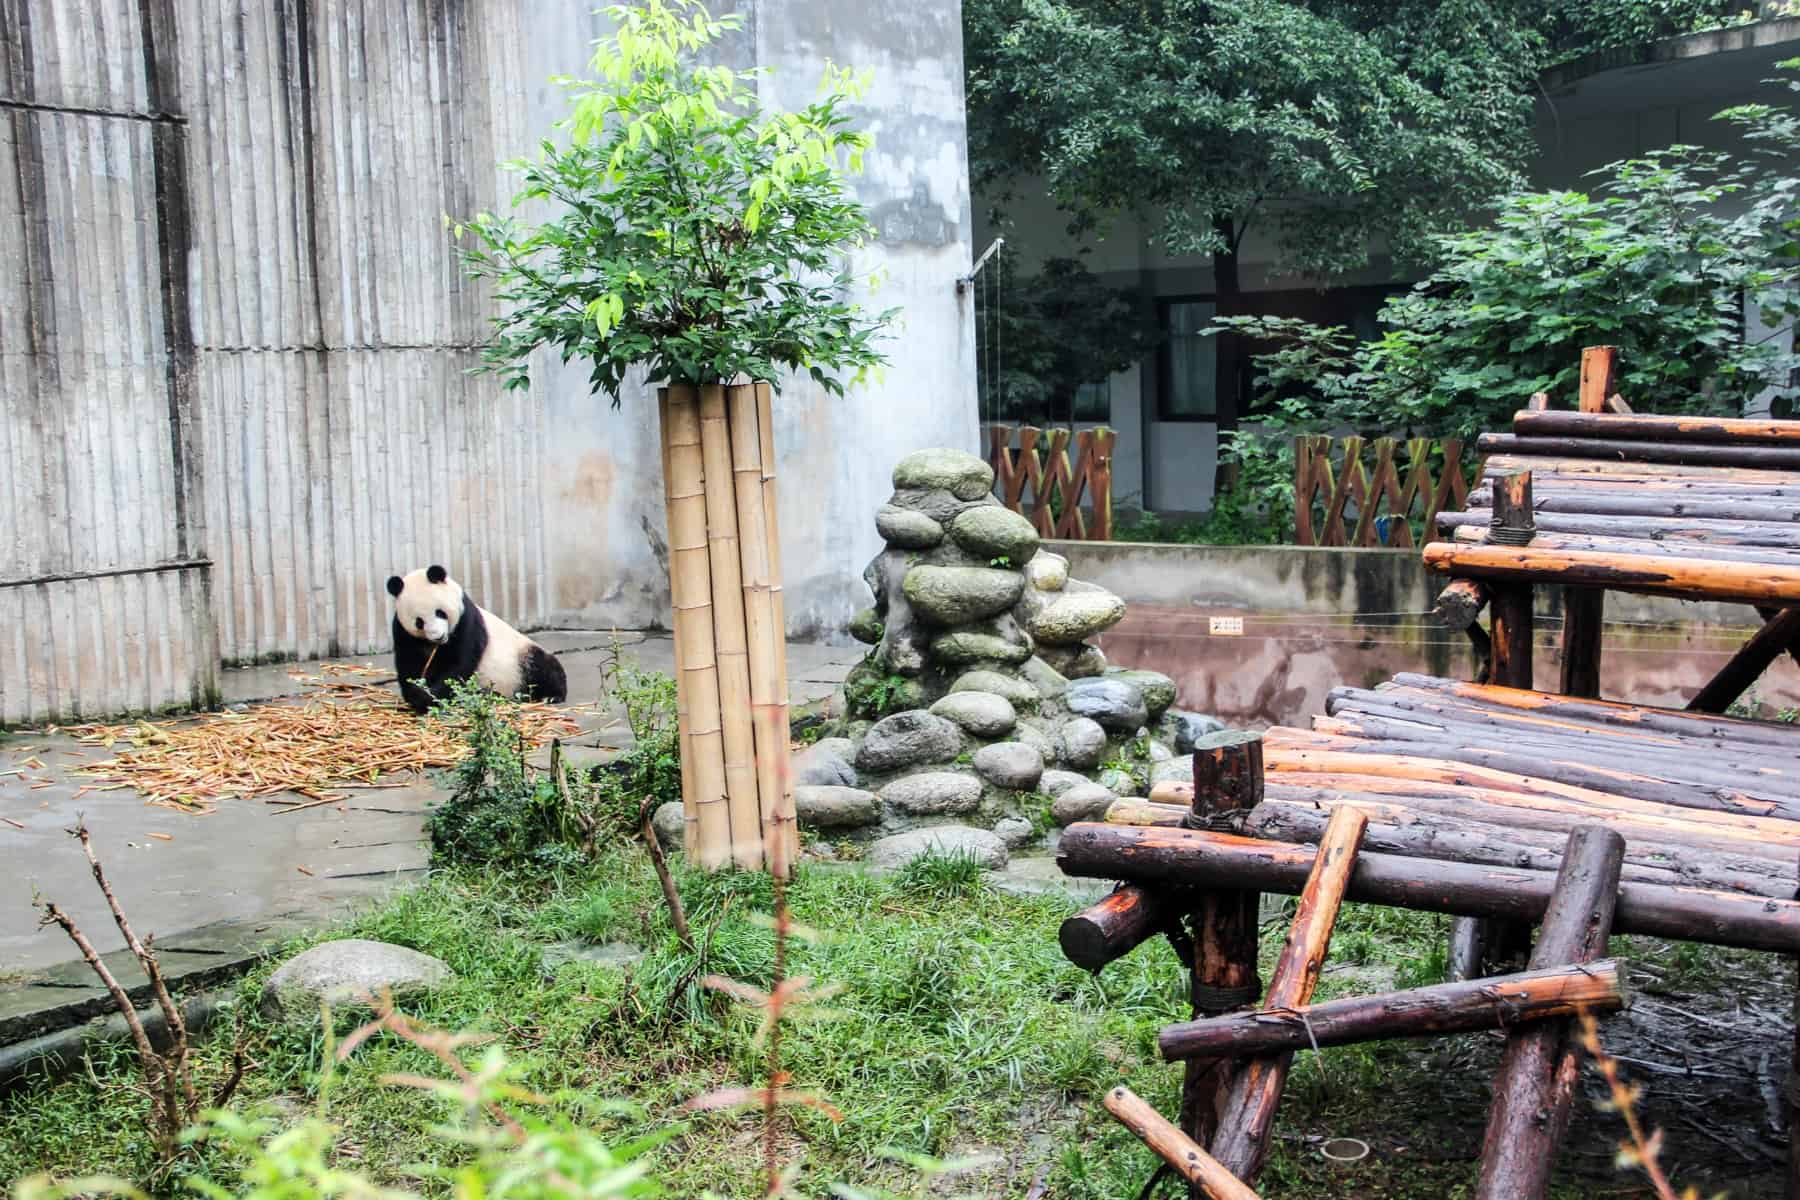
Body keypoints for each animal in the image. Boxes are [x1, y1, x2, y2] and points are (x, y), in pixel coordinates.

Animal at [388, 564, 568, 712]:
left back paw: (551, 695)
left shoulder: (467, 621)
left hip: (521, 656)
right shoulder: (403, 632)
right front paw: (417, 696)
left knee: (543, 666)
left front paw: (429, 697)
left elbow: (460, 664)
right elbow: (409, 665)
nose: (438, 636)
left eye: (440, 612)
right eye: (419, 622)